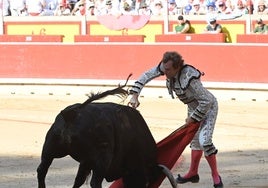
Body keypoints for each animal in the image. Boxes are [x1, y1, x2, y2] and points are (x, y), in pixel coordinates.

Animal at [36, 84, 177, 187]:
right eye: (147, 182)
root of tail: (72, 114)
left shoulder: (85, 161)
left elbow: (79, 180)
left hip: (50, 148)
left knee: (41, 170)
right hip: (103, 157)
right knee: (95, 182)